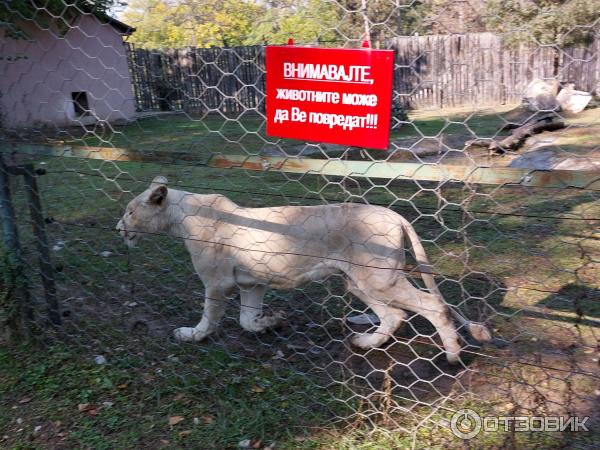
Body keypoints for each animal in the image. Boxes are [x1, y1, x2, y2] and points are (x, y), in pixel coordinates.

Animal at [117, 176, 492, 362]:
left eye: (131, 211)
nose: (119, 228)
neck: (179, 217)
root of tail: (396, 214)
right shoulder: (253, 283)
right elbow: (247, 319)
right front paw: (271, 322)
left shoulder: (217, 282)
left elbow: (210, 316)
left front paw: (192, 335)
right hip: (359, 281)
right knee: (394, 315)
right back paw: (365, 342)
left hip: (379, 278)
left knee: (433, 305)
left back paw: (453, 354)